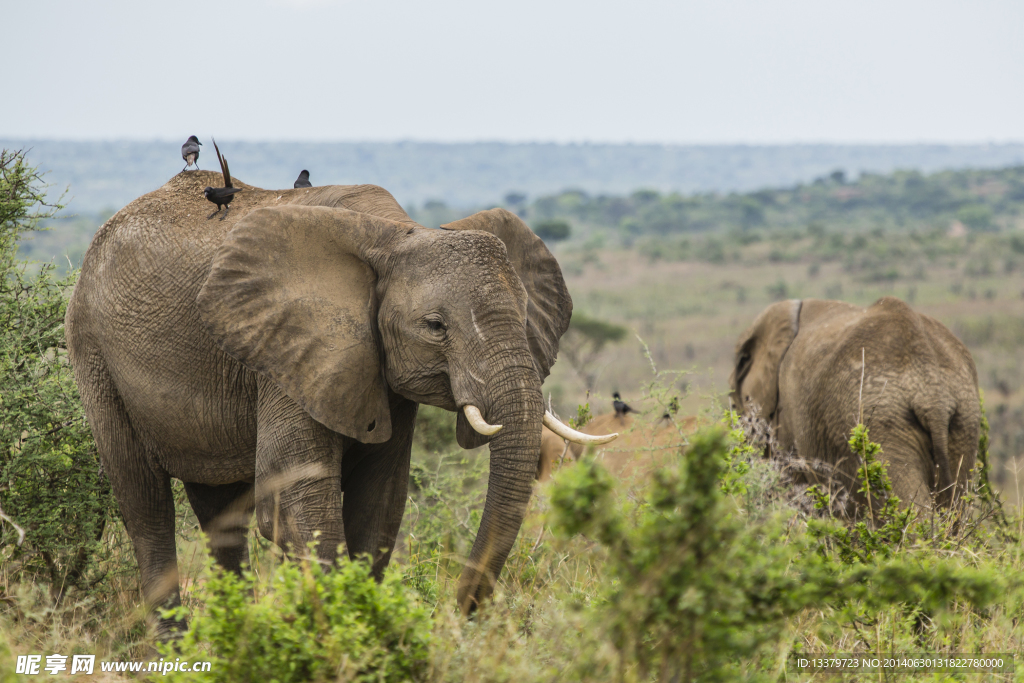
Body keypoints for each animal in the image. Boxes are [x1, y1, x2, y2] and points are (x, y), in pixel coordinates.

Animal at [68, 172, 610, 634]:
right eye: (435, 326)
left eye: (524, 316)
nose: (458, 614)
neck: (396, 235)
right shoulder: (288, 353)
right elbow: (296, 507)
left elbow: (381, 504)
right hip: (94, 352)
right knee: (145, 507)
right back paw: (176, 650)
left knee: (220, 515)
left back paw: (235, 633)